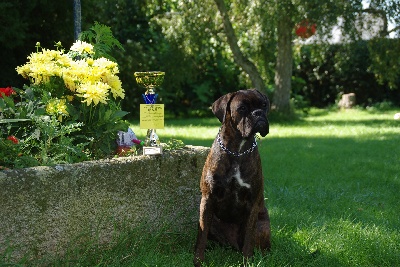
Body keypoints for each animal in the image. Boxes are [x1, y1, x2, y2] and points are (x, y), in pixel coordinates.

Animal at [195, 89, 272, 266]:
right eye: (242, 108)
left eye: (264, 105)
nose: (258, 113)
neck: (238, 149)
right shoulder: (207, 199)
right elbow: (201, 236)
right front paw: (198, 260)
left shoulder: (252, 205)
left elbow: (249, 238)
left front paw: (247, 261)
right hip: (212, 220)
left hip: (262, 226)